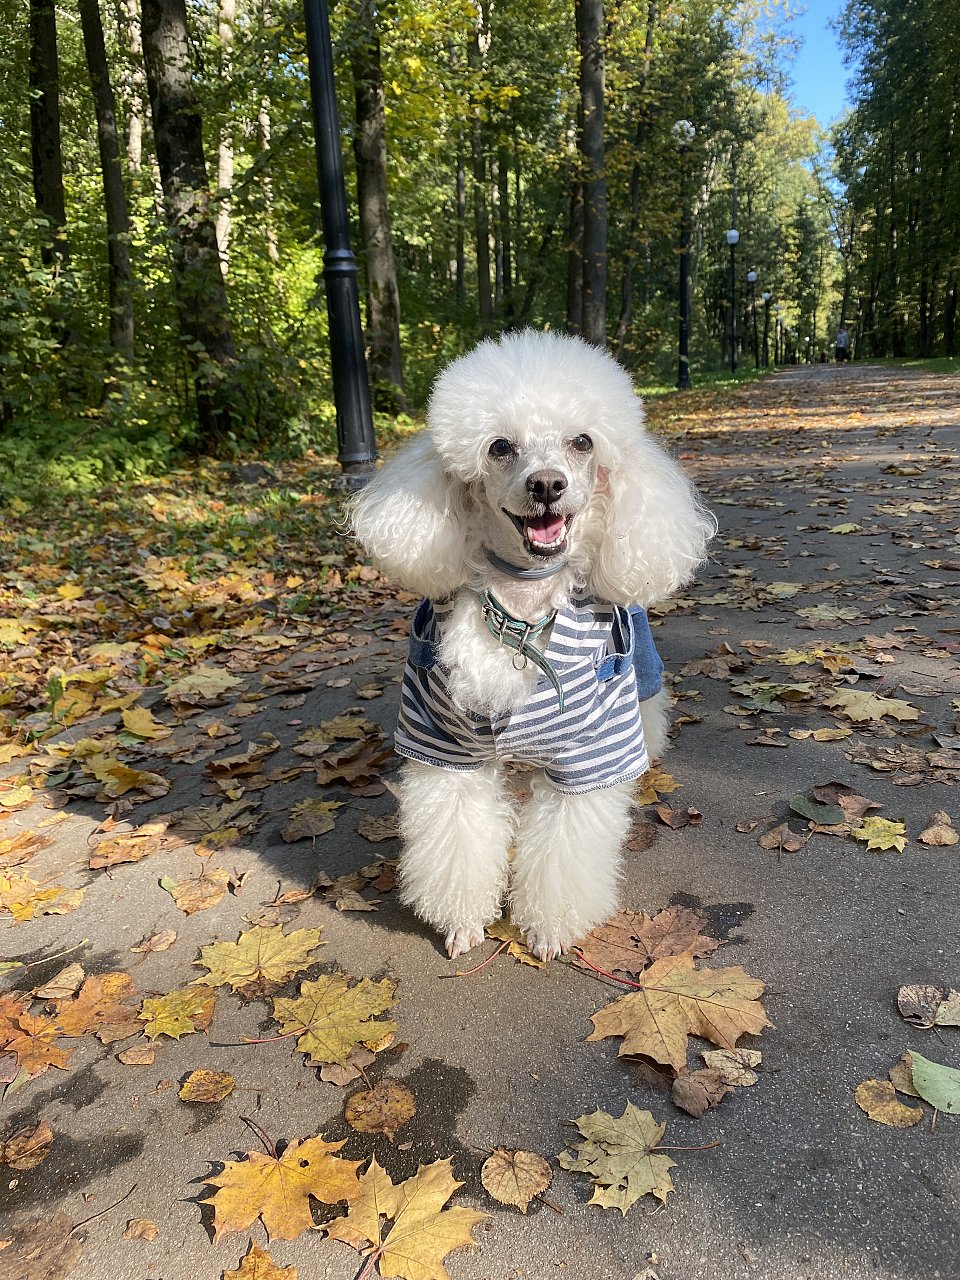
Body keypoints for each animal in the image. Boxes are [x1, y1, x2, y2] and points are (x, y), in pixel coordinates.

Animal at [349, 330, 714, 960]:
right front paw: (463, 922)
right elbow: (459, 838)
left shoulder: (589, 754)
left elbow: (567, 847)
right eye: (500, 447)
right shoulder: (445, 745)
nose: (546, 484)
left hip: (641, 673)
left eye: (582, 441)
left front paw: (548, 930)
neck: (519, 610)